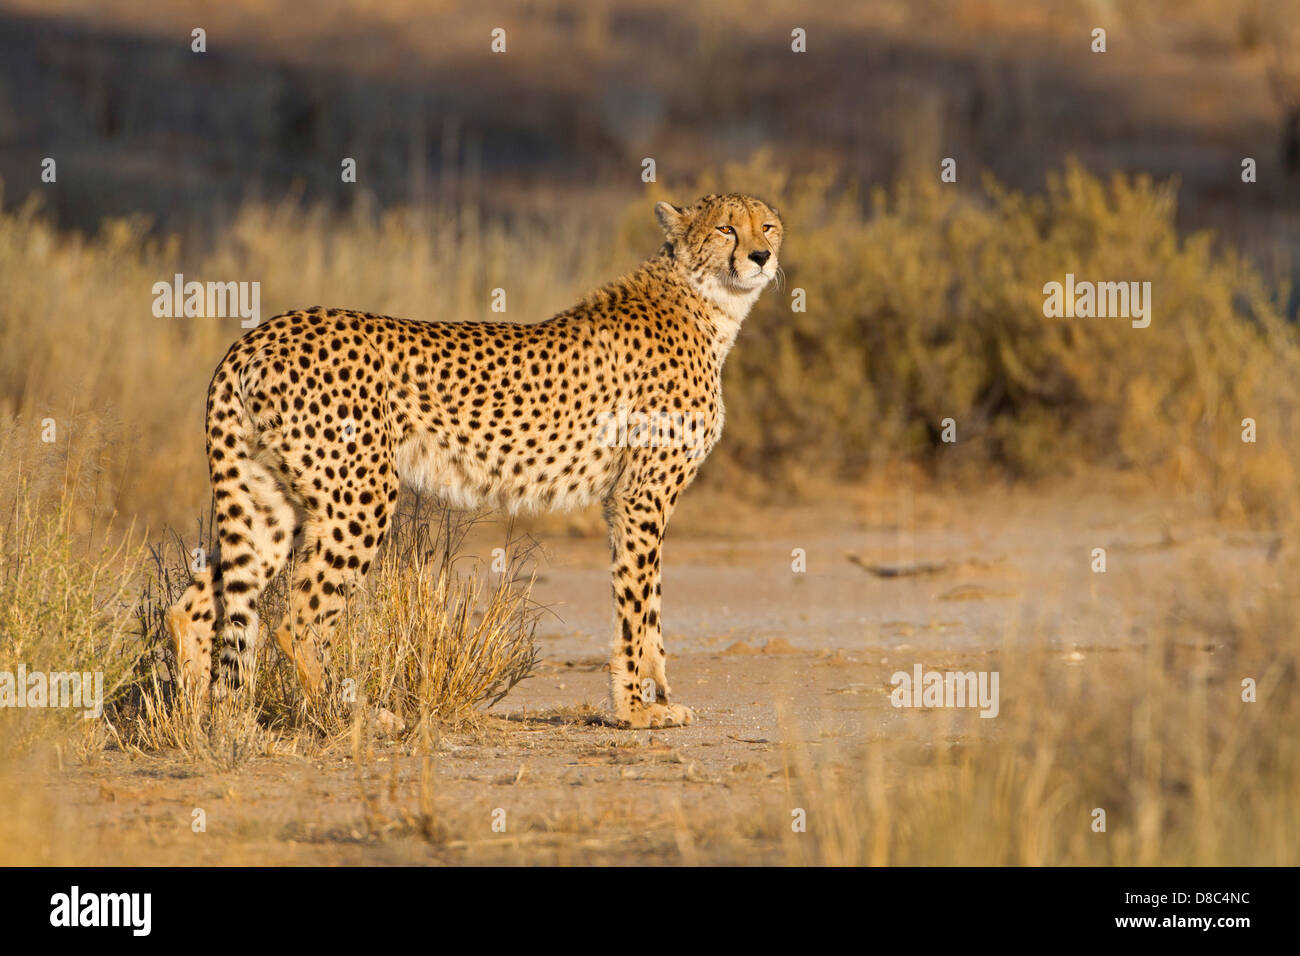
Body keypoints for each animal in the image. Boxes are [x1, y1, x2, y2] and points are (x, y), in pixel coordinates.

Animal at [170, 195, 780, 733]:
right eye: (726, 228)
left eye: (769, 225)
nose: (761, 256)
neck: (705, 302)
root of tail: (257, 335)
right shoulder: (640, 495)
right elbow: (637, 606)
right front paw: (637, 710)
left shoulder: (630, 499)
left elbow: (648, 606)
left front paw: (658, 700)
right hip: (360, 498)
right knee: (295, 624)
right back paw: (351, 719)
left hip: (270, 503)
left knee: (197, 605)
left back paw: (205, 723)